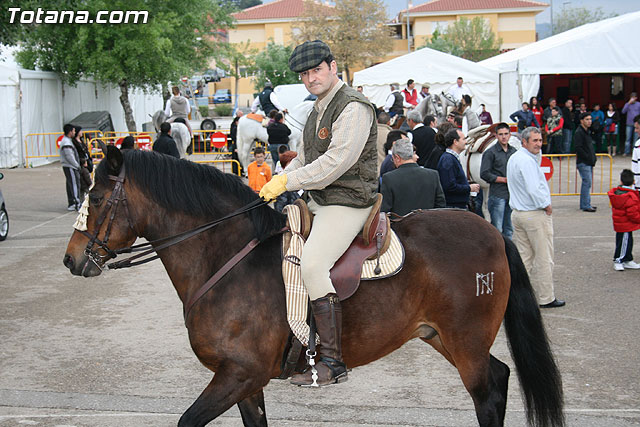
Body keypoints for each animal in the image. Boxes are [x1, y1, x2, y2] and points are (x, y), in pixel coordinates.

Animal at [63, 145, 564, 426]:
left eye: (97, 197)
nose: (71, 259)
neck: (225, 257)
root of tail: (492, 232)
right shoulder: (245, 382)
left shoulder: (237, 375)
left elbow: (187, 421)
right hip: (444, 338)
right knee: (498, 379)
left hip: (465, 343)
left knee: (488, 392)